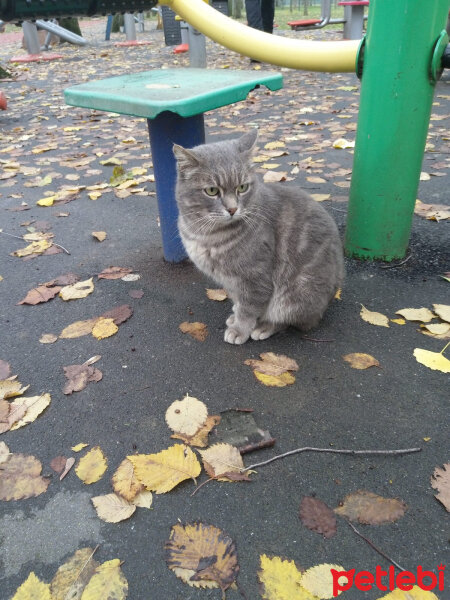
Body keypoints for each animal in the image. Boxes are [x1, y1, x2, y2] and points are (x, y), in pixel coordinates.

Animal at [174, 131, 342, 346]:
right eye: (212, 191)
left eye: (242, 187)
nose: (232, 209)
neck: (204, 234)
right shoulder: (231, 282)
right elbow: (239, 301)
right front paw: (235, 314)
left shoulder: (254, 278)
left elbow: (248, 309)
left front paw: (240, 329)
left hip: (297, 292)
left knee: (290, 320)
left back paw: (265, 326)